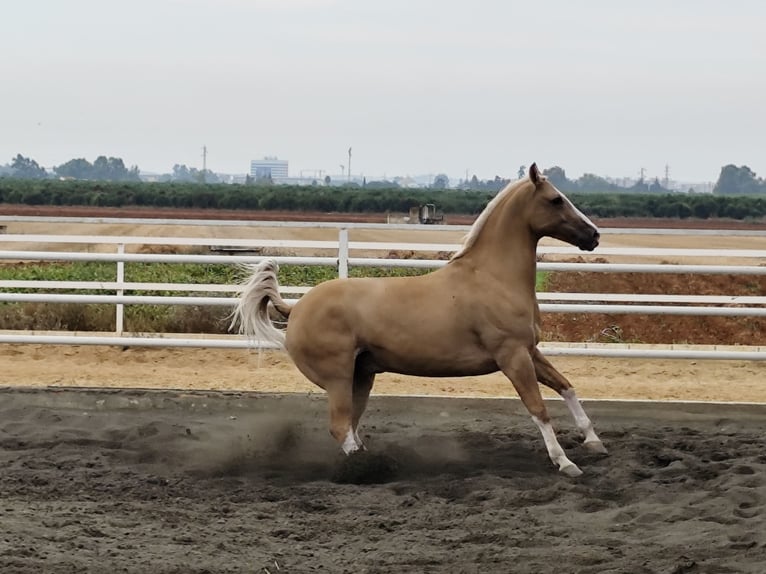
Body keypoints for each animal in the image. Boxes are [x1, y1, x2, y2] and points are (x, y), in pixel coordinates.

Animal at [230, 163, 606, 477]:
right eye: (556, 200)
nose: (594, 236)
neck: (492, 277)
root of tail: (295, 308)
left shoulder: (530, 351)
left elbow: (566, 386)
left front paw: (594, 442)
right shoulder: (511, 356)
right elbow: (538, 408)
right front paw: (565, 462)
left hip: (361, 376)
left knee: (350, 424)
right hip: (338, 378)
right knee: (340, 427)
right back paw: (367, 469)